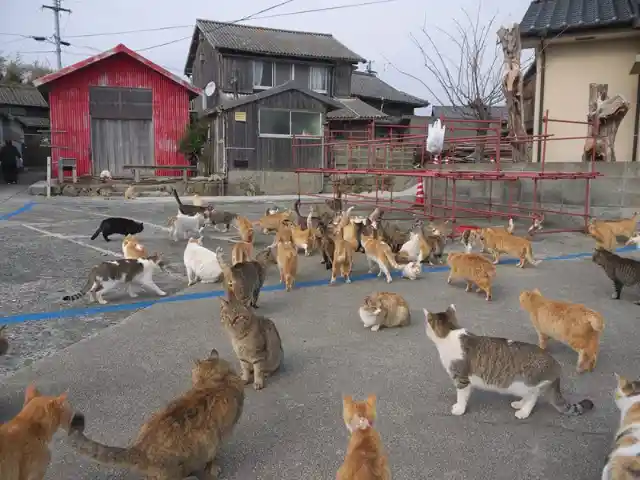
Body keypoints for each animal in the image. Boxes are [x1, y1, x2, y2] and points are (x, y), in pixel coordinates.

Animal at [424, 306, 596, 418]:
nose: (425, 329)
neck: (450, 333)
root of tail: (555, 364)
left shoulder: (461, 378)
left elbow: (461, 396)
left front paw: (459, 409)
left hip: (524, 383)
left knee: (533, 397)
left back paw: (523, 412)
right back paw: (519, 404)